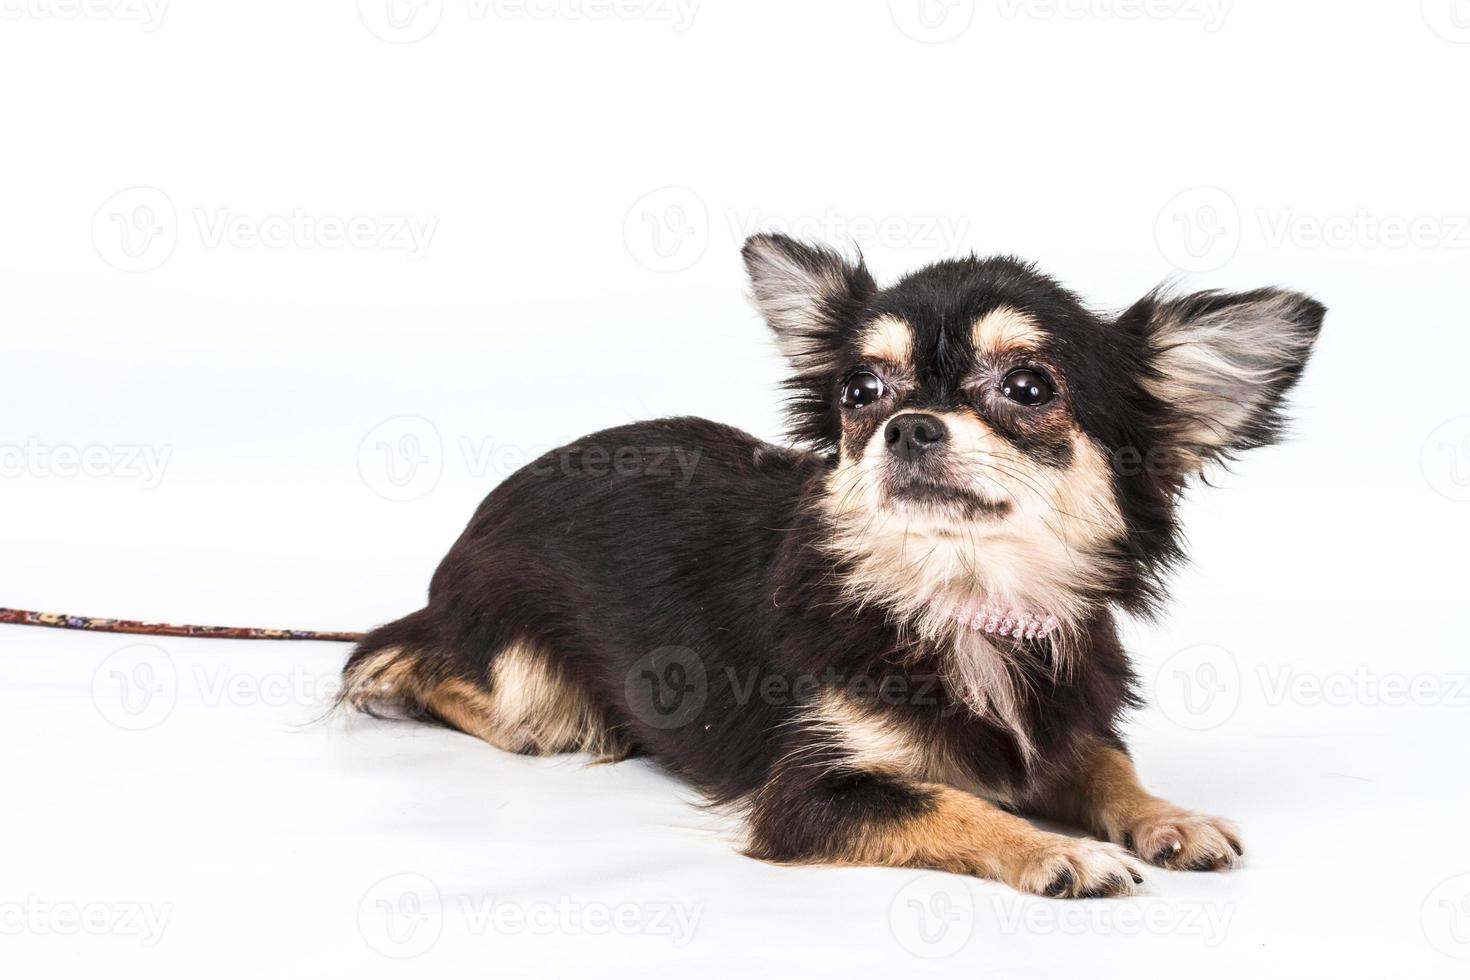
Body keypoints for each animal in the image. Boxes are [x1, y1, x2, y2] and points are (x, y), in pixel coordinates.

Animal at [341, 235, 1323, 899]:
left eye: (1029, 387)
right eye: (861, 393)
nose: (909, 425)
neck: (960, 603)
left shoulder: (1065, 726)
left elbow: (1109, 768)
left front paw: (1171, 817)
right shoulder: (808, 792)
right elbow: (955, 805)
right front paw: (1062, 849)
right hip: (517, 683)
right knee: (408, 669)